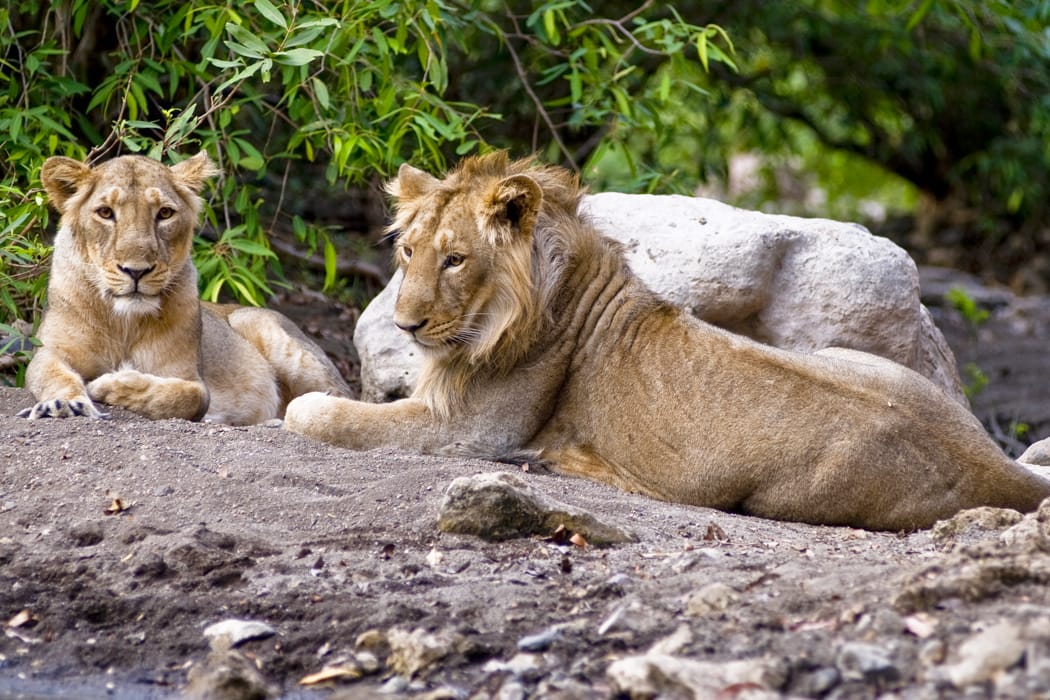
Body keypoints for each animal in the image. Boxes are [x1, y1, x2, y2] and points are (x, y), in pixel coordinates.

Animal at [19, 152, 350, 425]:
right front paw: (65, 404)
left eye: (165, 213)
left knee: (338, 397)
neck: (122, 321)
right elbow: (52, 375)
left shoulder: (189, 377)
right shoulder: (49, 351)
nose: (136, 271)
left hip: (271, 334)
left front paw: (111, 382)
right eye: (105, 212)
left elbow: (186, 397)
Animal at [284, 152, 1050, 530]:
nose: (406, 326)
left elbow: (321, 413)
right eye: (408, 251)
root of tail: (990, 466)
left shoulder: (471, 432)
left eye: (454, 259)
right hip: (850, 355)